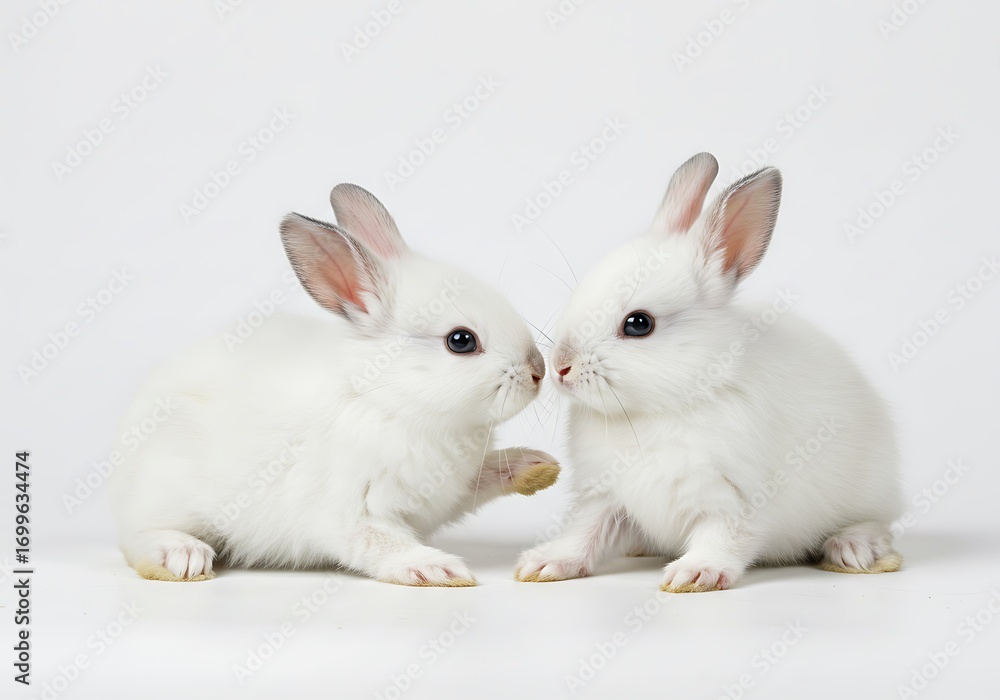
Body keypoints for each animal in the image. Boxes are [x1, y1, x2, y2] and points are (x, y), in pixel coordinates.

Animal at [112, 184, 560, 586]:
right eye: (461, 341)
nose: (538, 370)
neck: (385, 401)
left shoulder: (451, 493)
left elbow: (484, 478)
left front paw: (537, 466)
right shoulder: (350, 513)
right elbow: (382, 544)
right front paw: (437, 570)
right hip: (170, 493)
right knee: (137, 538)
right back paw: (182, 557)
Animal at [515, 152, 903, 592]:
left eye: (638, 324)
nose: (560, 367)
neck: (661, 409)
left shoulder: (736, 499)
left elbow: (724, 537)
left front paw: (694, 573)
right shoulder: (606, 497)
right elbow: (584, 533)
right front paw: (545, 564)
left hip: (870, 491)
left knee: (876, 522)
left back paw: (852, 549)